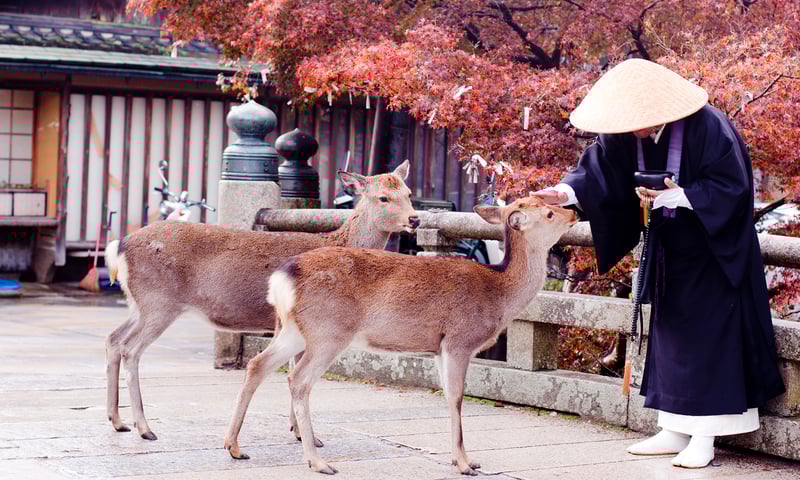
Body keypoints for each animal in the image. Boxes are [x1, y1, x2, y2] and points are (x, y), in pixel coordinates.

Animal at [104, 161, 418, 443]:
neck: (340, 241)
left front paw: (297, 431)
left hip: (139, 303)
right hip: (159, 302)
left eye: (408, 192)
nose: (415, 219)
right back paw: (144, 428)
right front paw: (308, 436)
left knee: (113, 338)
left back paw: (117, 421)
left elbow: (291, 368)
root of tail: (119, 246)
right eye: (383, 197)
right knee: (131, 349)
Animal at [223, 196, 576, 475]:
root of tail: (282, 278)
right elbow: (457, 397)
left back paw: (234, 446)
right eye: (548, 213)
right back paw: (318, 461)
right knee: (298, 379)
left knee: (257, 364)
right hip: (329, 331)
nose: (573, 212)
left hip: (294, 330)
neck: (500, 293)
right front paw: (465, 464)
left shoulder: (439, 347)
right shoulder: (459, 340)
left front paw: (464, 459)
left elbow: (448, 395)